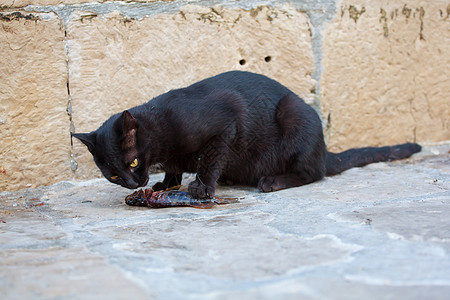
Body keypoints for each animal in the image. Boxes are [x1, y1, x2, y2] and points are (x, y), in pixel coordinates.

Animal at [74, 71, 422, 198]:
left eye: (133, 163)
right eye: (114, 176)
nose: (133, 184)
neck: (162, 129)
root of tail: (325, 150)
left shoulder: (225, 125)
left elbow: (209, 160)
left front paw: (202, 186)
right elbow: (174, 168)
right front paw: (167, 183)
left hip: (294, 116)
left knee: (314, 173)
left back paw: (272, 181)